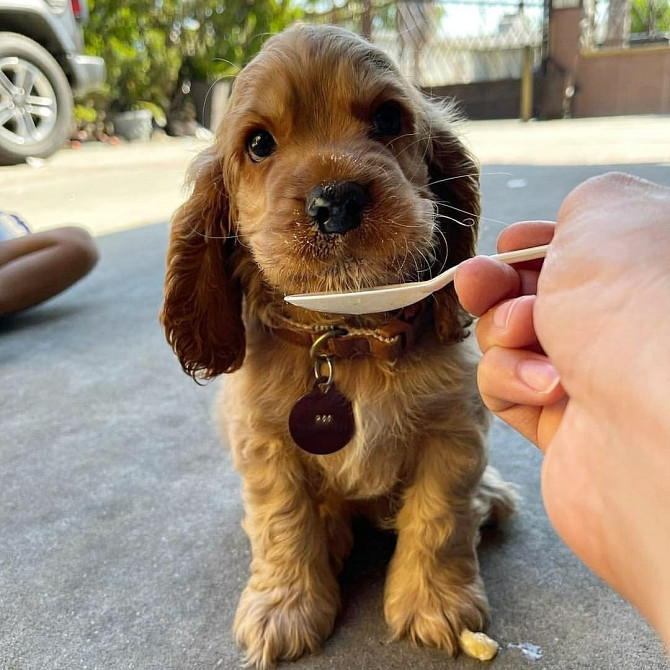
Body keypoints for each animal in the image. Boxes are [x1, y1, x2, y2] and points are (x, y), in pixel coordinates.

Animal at [160, 23, 516, 668]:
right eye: (258, 144)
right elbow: (283, 523)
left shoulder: (454, 430)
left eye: (388, 119)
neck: (350, 336)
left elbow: (440, 517)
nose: (337, 201)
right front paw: (283, 608)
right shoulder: (265, 444)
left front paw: (435, 603)